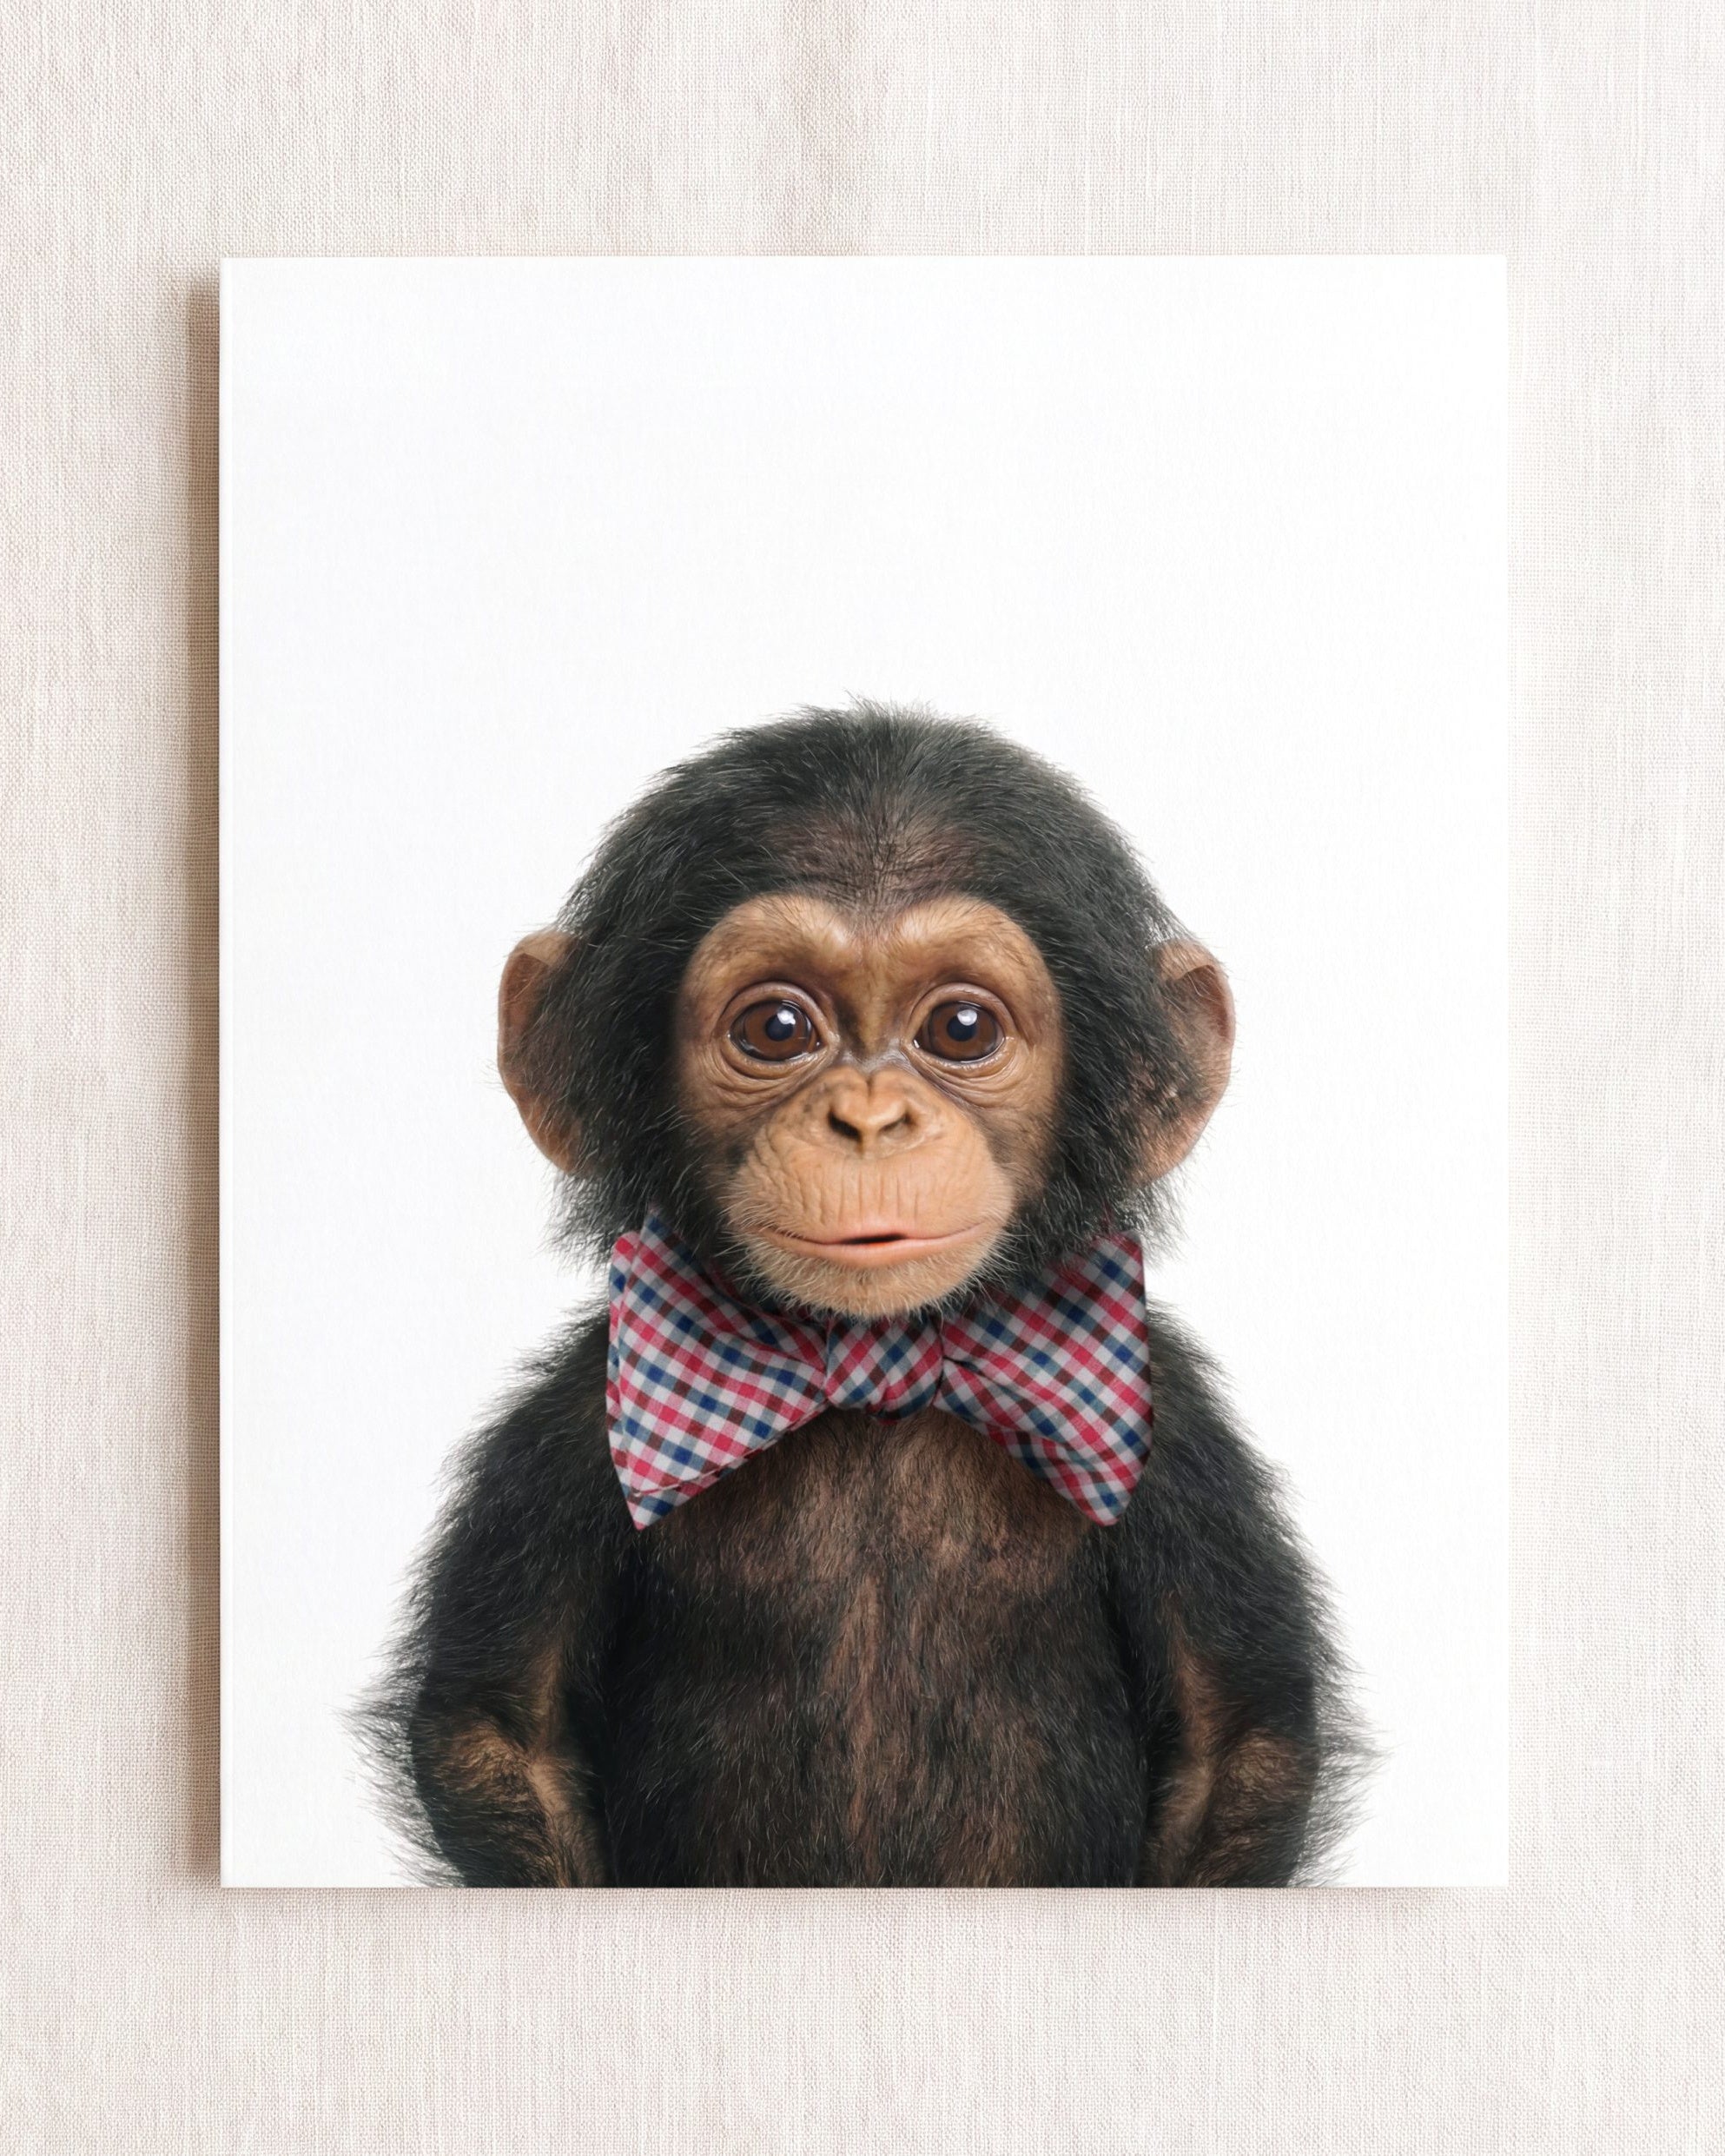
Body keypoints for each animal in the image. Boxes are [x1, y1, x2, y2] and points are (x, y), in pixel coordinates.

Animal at [363, 702, 1363, 1887]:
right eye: (777, 1029)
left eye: (962, 1029)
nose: (871, 1119)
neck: (876, 1364)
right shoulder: (567, 1431)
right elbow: (500, 1731)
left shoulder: (1177, 1444)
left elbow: (1234, 1745)